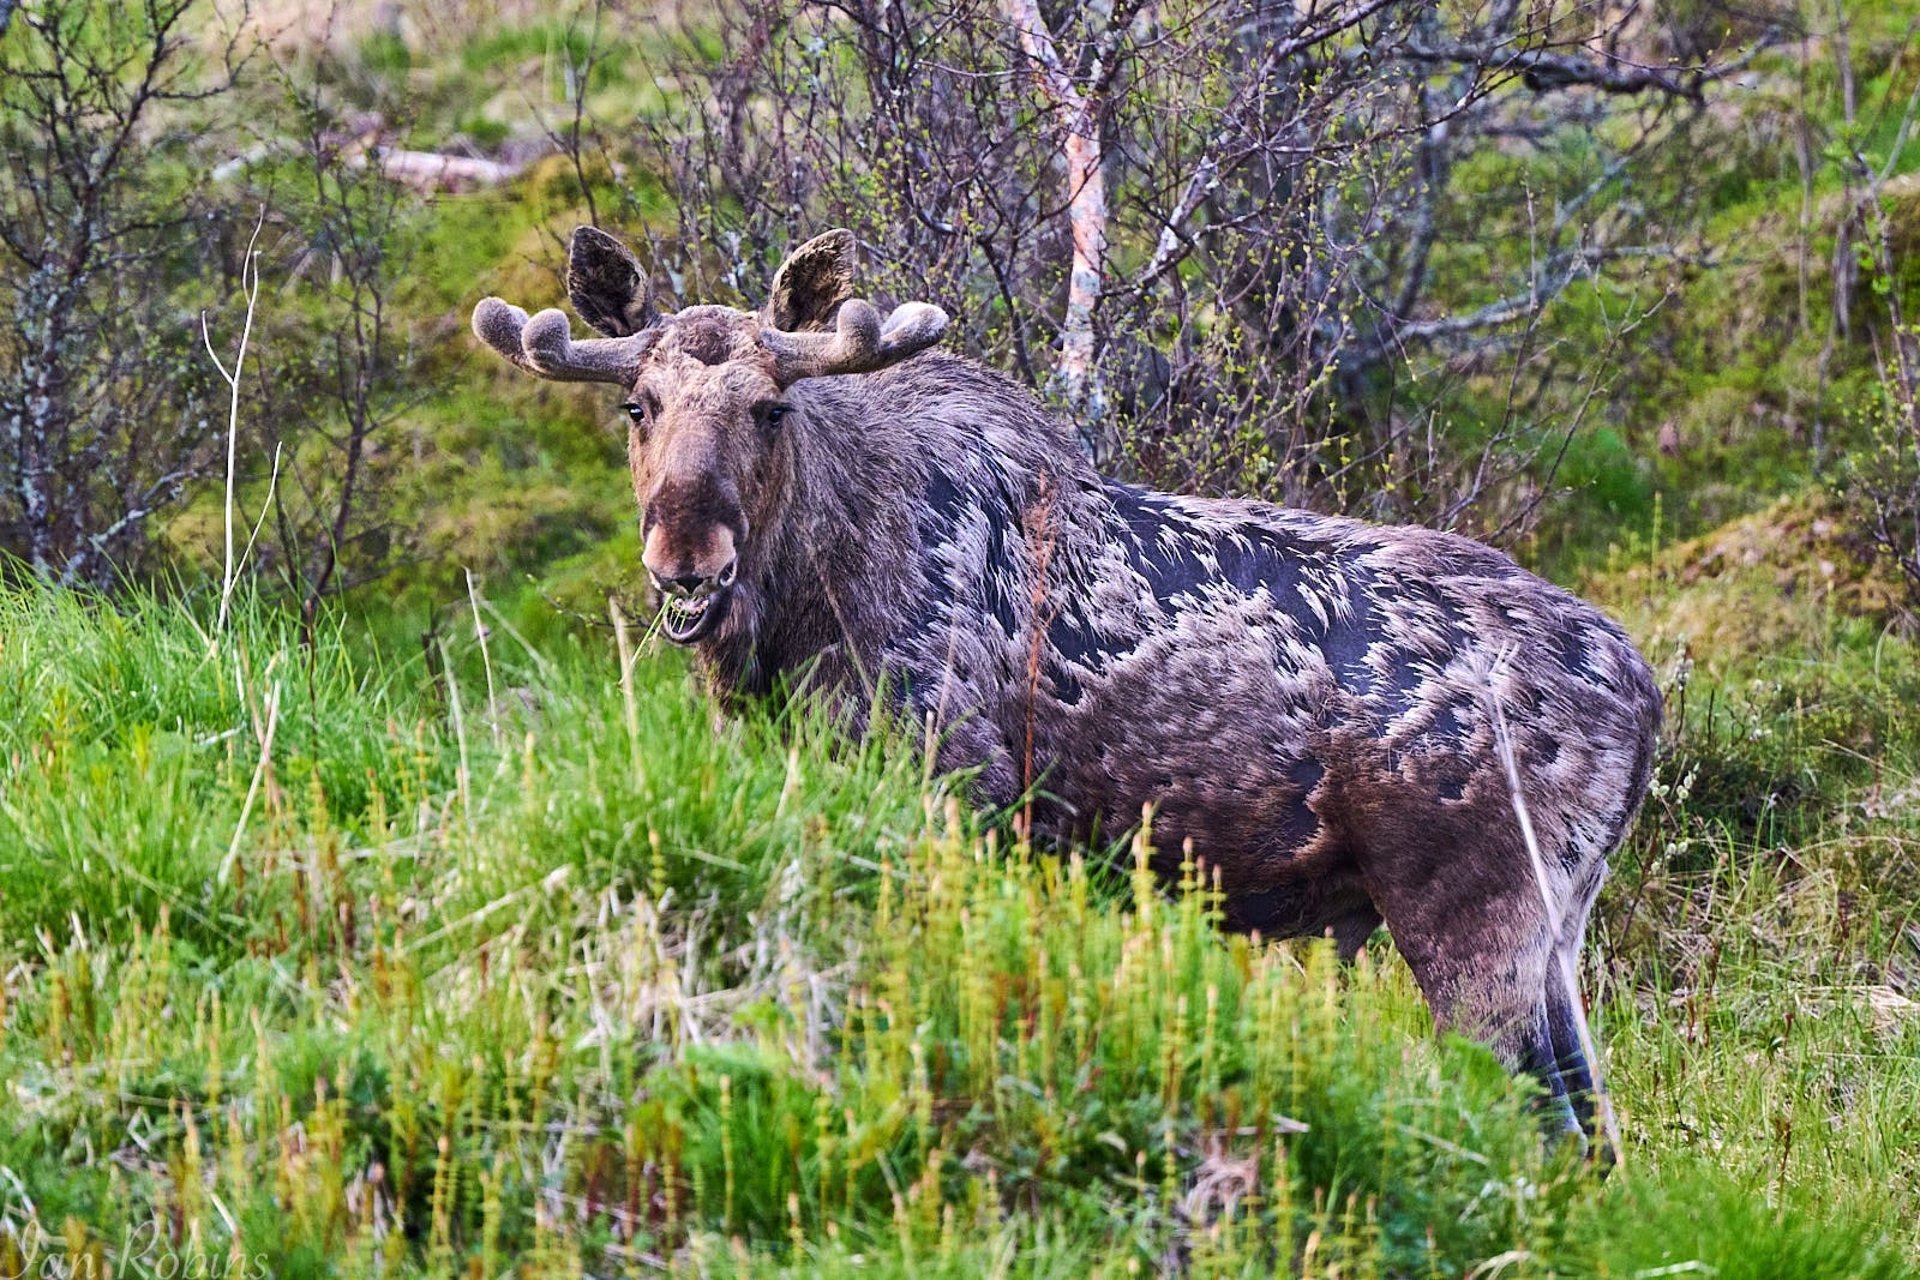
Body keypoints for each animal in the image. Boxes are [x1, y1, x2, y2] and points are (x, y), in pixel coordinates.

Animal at [476, 225, 1666, 1136]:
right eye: (637, 406)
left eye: (771, 407)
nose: (688, 558)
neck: (800, 618)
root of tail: (1647, 694)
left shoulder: (952, 788)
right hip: (1552, 932)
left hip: (1478, 917)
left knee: (1558, 1128)